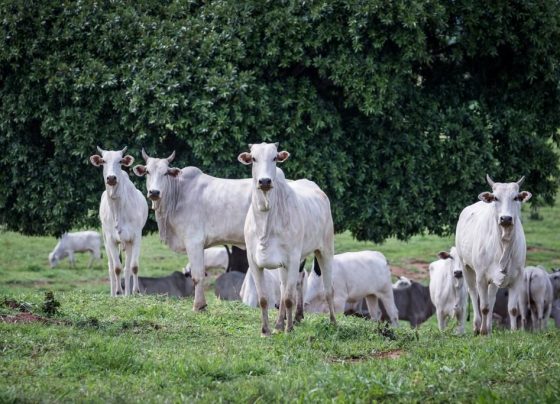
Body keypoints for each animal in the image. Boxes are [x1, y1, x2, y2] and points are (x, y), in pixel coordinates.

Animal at [89, 147, 148, 296]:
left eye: (120, 161)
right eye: (103, 161)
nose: (111, 178)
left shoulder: (135, 237)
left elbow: (134, 266)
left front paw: (135, 291)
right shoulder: (110, 239)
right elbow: (116, 268)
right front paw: (118, 291)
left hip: (127, 243)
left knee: (127, 268)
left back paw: (128, 293)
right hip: (105, 240)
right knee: (111, 267)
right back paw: (114, 293)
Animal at [133, 150, 252, 310]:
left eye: (166, 173)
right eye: (147, 171)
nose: (154, 192)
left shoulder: (193, 242)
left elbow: (197, 276)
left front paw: (198, 306)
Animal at [237, 142, 334, 334]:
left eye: (275, 157)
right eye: (253, 158)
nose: (265, 181)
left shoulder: (293, 258)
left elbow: (289, 298)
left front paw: (289, 329)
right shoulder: (254, 261)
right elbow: (264, 299)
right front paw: (266, 331)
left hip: (325, 249)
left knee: (328, 289)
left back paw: (332, 323)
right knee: (284, 288)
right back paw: (280, 323)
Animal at [456, 174, 528, 334]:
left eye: (516, 197)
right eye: (495, 198)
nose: (506, 218)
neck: (504, 246)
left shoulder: (518, 277)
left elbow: (512, 309)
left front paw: (514, 331)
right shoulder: (481, 277)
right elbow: (484, 307)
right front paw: (482, 332)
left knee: (492, 297)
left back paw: (488, 327)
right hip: (466, 266)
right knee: (473, 293)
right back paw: (477, 326)